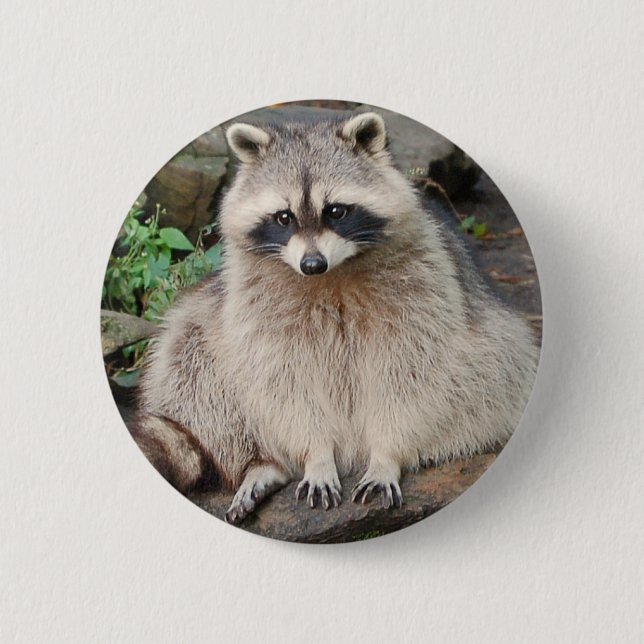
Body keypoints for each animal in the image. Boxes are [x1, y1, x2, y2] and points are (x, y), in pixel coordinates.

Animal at [132, 111, 538, 525]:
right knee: (190, 353)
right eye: (283, 217)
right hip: (208, 330)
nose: (312, 265)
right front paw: (316, 456)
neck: (331, 274)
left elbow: (408, 374)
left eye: (336, 211)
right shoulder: (256, 303)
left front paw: (387, 455)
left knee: (494, 366)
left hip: (492, 353)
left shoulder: (422, 287)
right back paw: (262, 463)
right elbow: (285, 378)